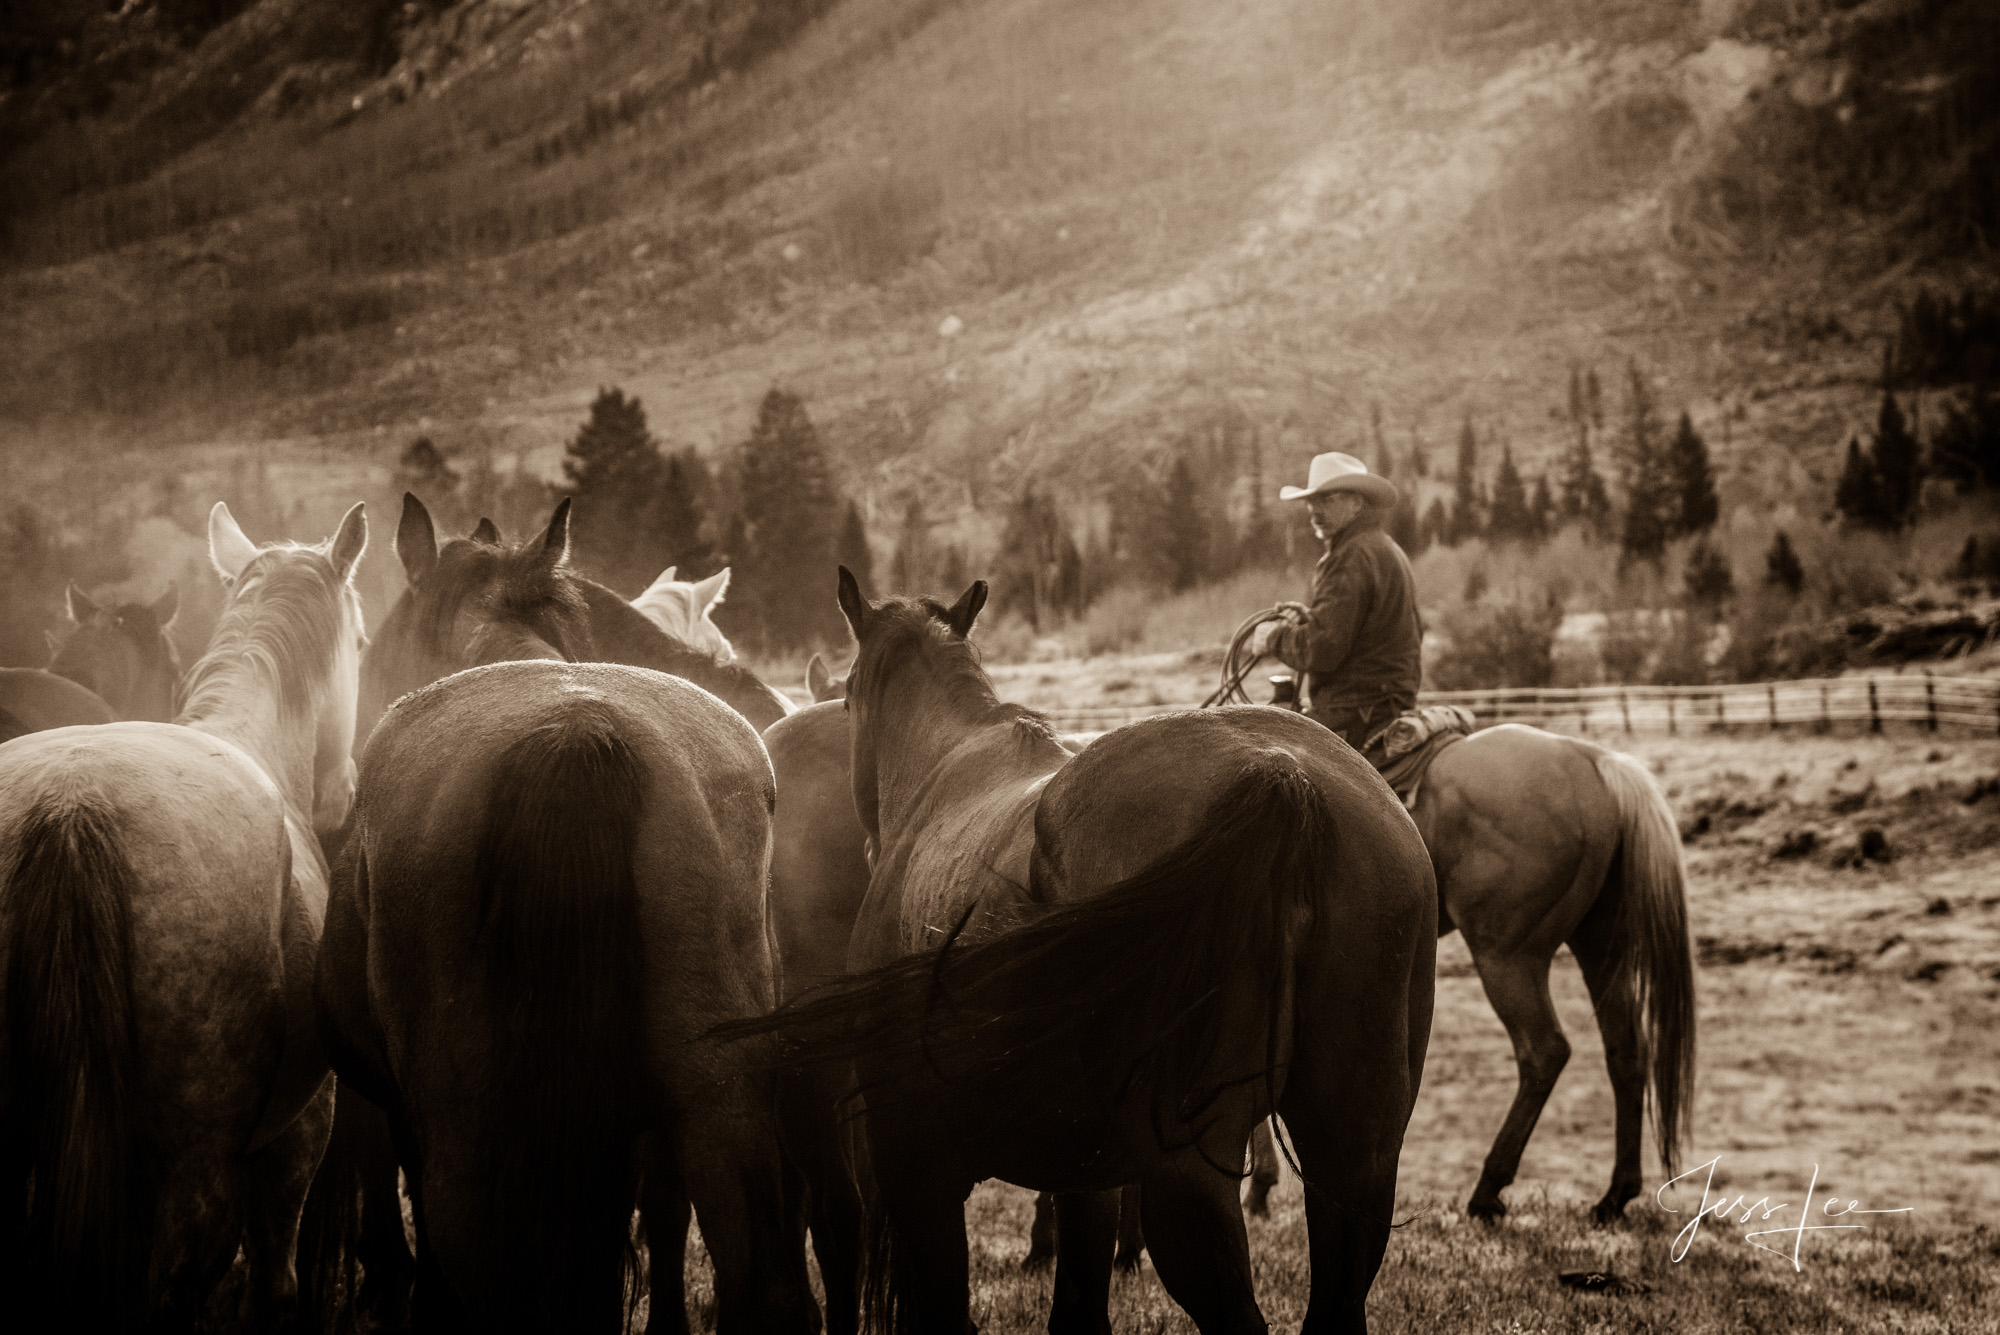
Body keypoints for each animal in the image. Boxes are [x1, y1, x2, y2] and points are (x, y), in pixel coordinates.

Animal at [744, 571, 1432, 1335]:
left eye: (851, 694)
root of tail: (1279, 774)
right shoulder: (1084, 1179)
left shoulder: (915, 1170)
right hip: (1356, 1152)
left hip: (1188, 1177)